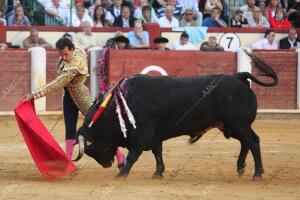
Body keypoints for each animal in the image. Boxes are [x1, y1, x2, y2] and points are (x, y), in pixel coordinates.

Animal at [74, 50, 278, 180]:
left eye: (92, 148)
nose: (107, 165)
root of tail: (239, 77)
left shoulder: (142, 134)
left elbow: (134, 155)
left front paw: (121, 174)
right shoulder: (154, 135)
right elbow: (157, 153)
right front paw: (158, 173)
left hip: (239, 124)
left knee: (253, 142)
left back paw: (257, 174)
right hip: (231, 126)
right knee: (246, 143)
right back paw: (241, 168)